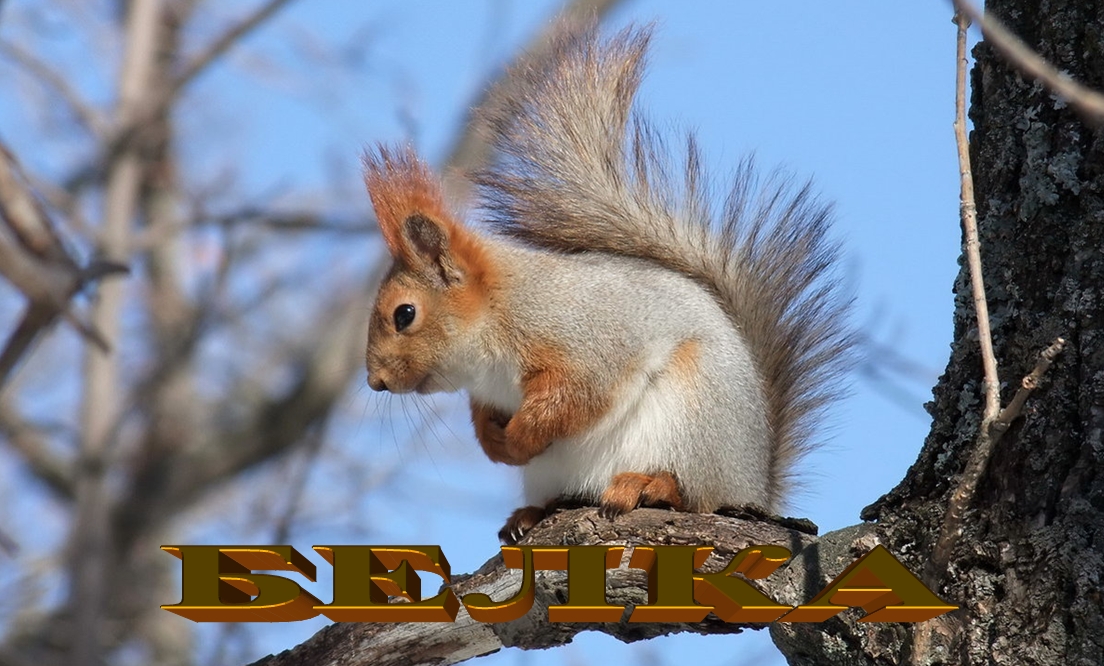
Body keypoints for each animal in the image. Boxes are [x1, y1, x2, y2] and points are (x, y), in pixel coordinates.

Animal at [361, 24, 852, 545]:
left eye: (405, 314)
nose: (376, 381)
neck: (498, 317)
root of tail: (754, 485)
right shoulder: (489, 391)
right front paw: (494, 443)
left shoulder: (586, 341)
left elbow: (576, 397)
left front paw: (519, 437)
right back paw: (529, 515)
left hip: (696, 423)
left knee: (693, 495)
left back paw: (649, 486)